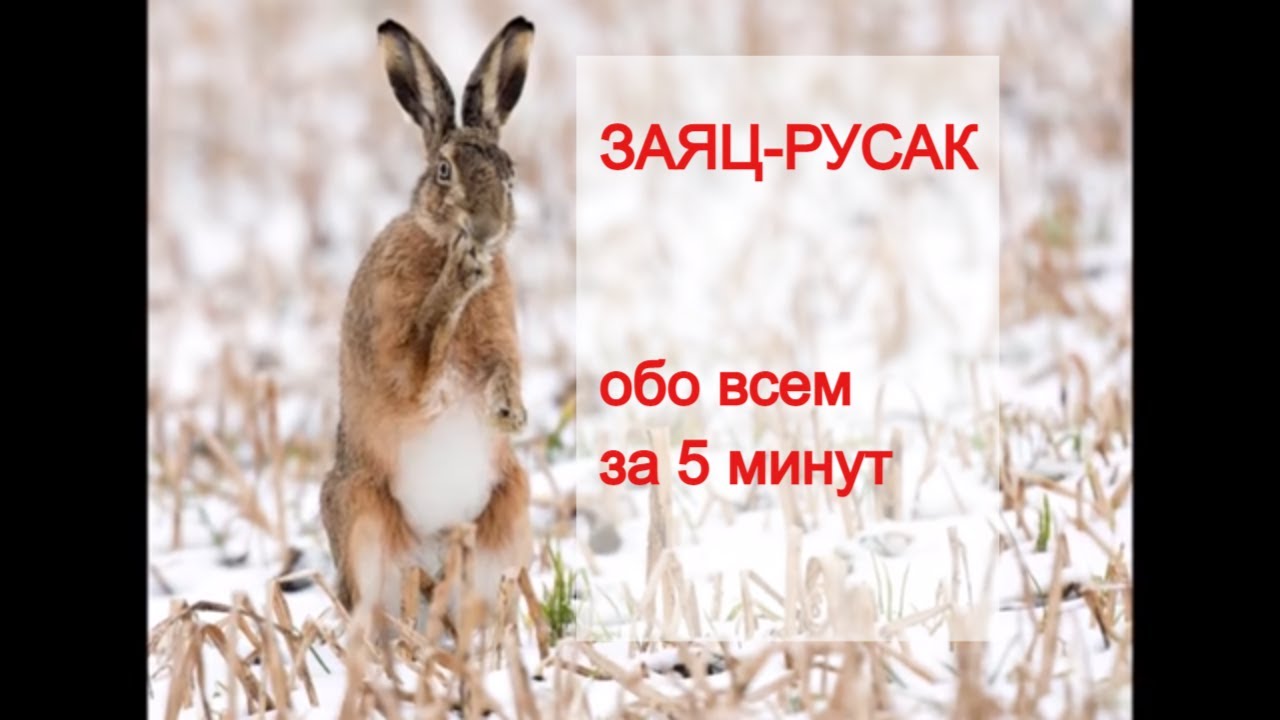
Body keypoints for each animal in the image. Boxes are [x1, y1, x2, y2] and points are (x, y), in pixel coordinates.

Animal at [320, 16, 536, 642]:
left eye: (510, 174)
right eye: (444, 171)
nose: (486, 230)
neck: (439, 240)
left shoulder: (502, 340)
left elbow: (503, 366)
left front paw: (510, 415)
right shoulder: (396, 353)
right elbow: (421, 359)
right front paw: (460, 278)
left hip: (509, 513)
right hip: (361, 515)